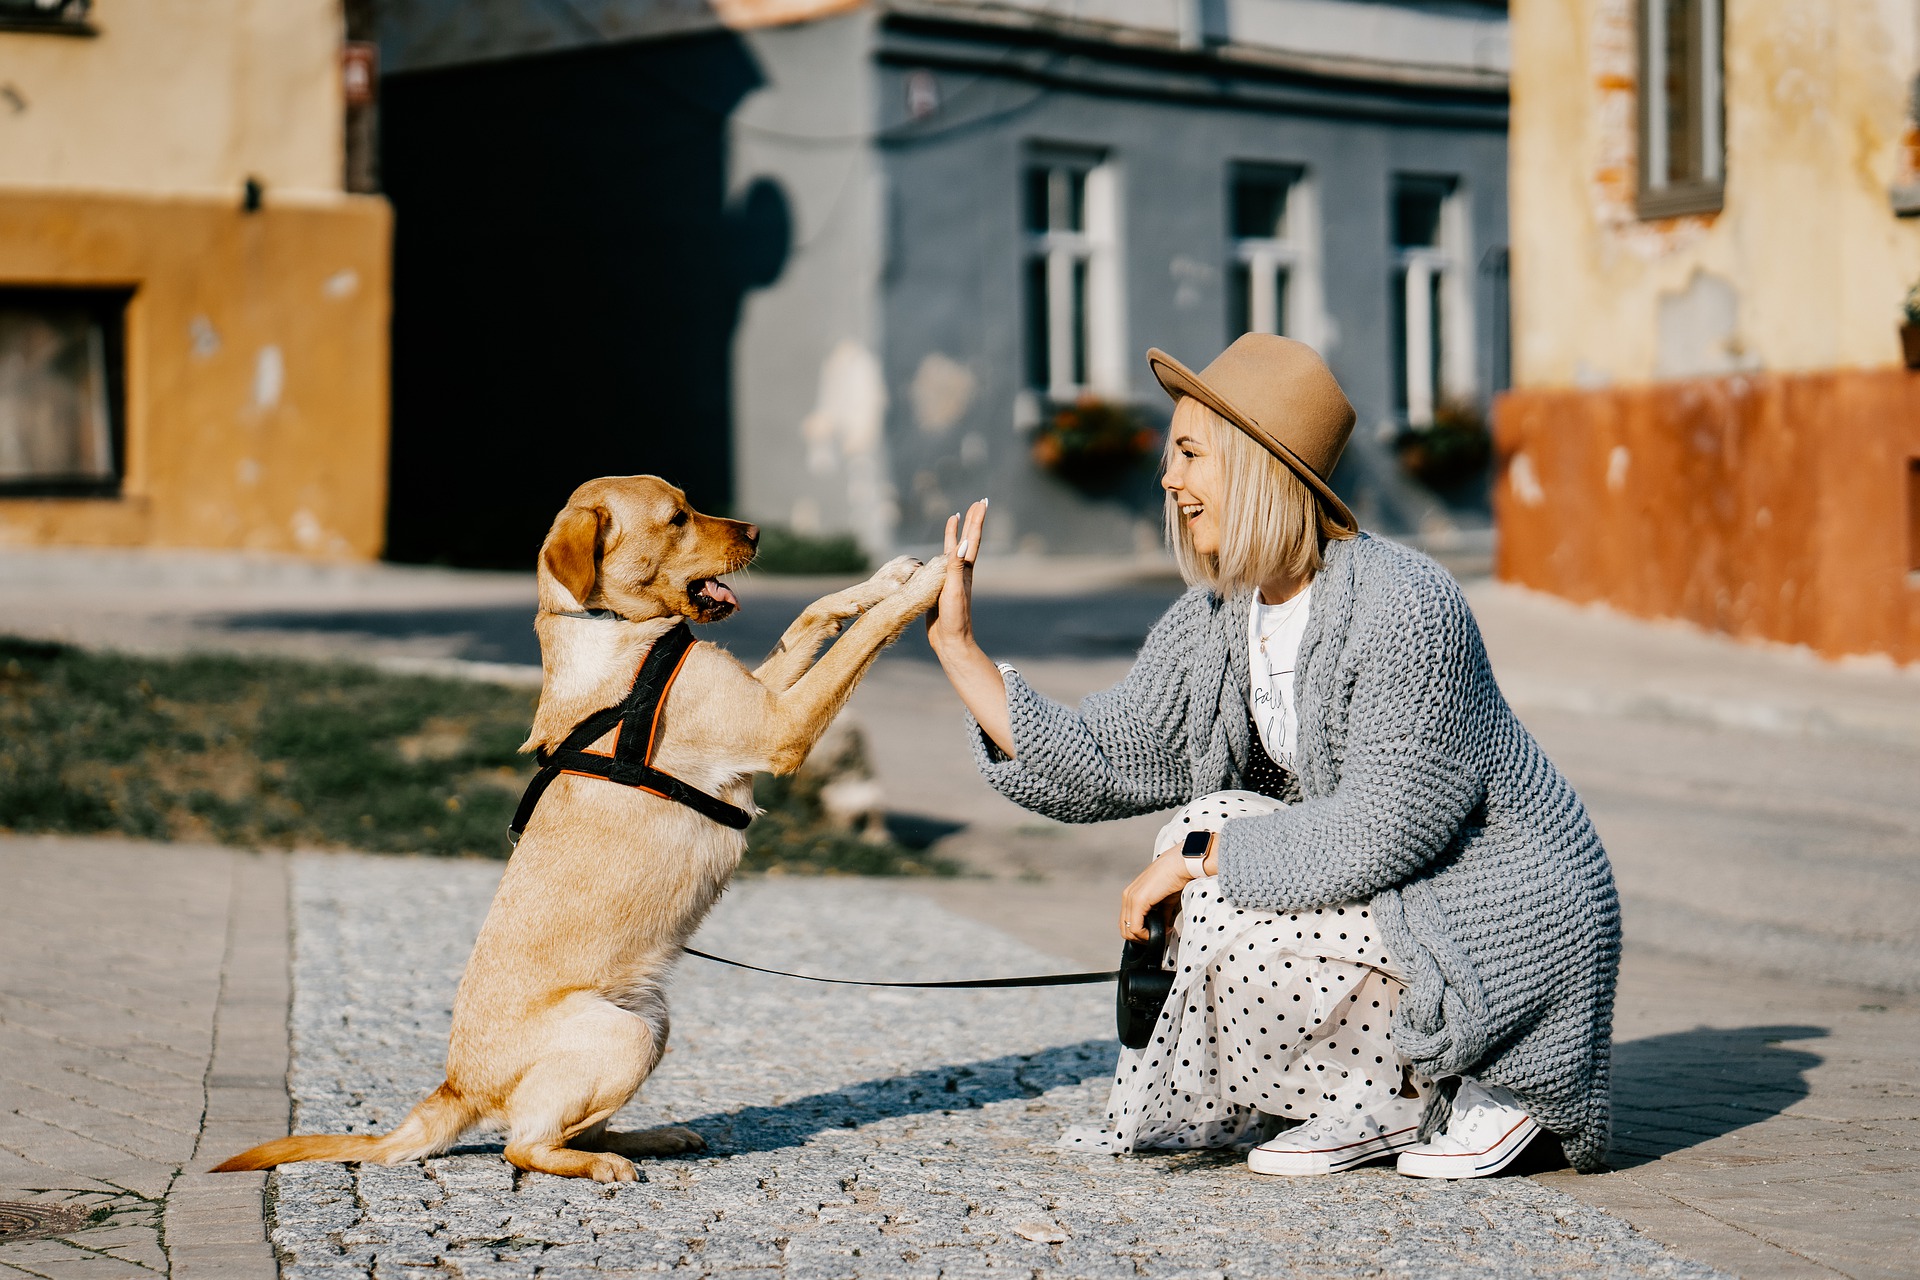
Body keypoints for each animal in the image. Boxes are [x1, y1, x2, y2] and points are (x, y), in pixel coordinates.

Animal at [214, 477, 948, 1182]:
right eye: (677, 518)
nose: (759, 532)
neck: (614, 629)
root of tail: (455, 1088)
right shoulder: (780, 727)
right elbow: (860, 639)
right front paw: (932, 582)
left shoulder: (763, 694)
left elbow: (814, 614)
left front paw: (888, 577)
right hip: (623, 1037)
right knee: (524, 1145)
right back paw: (602, 1164)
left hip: (652, 1023)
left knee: (571, 1127)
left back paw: (652, 1137)